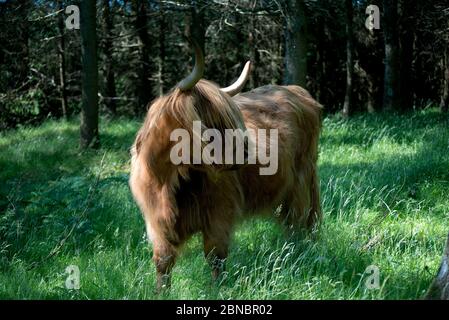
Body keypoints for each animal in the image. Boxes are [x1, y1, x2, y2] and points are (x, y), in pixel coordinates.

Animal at [130, 40, 322, 292]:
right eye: (211, 125)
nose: (246, 153)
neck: (168, 179)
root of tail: (297, 91)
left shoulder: (218, 214)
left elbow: (215, 256)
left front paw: (217, 289)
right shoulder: (156, 222)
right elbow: (163, 261)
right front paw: (161, 292)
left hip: (300, 183)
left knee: (297, 223)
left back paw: (297, 257)